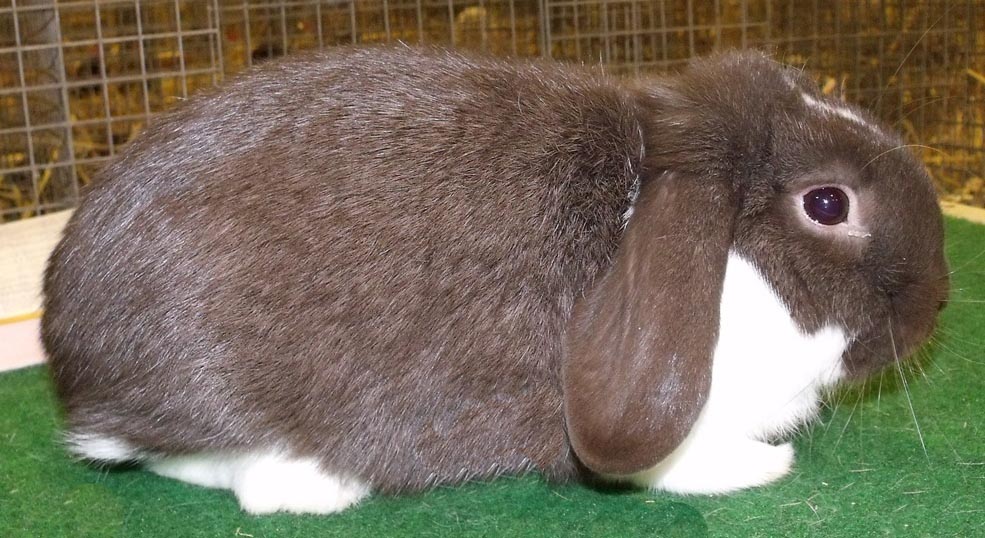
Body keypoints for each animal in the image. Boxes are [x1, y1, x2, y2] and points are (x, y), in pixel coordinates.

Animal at [42, 46, 949, 515]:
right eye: (826, 203)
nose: (934, 303)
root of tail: (76, 373)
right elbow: (671, 465)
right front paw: (762, 469)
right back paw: (319, 485)